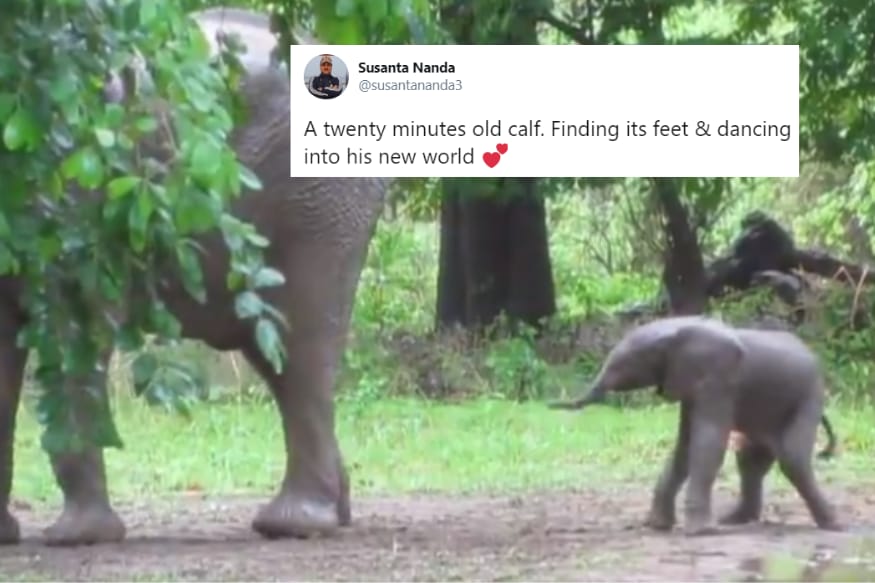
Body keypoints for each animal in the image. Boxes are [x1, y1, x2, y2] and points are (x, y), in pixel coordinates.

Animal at [0, 7, 391, 545]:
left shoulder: (77, 184)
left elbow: (79, 320)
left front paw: (78, 538)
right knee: (276, 357)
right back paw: (331, 511)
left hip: (319, 204)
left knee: (297, 345)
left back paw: (293, 525)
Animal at [549, 315, 842, 536]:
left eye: (622, 366)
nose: (551, 405)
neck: (675, 331)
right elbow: (685, 447)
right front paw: (659, 526)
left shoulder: (717, 379)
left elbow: (708, 442)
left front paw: (701, 532)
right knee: (750, 461)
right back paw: (733, 520)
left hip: (809, 398)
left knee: (792, 459)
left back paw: (834, 525)